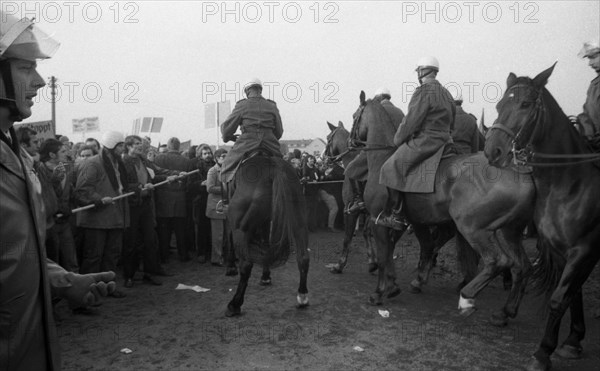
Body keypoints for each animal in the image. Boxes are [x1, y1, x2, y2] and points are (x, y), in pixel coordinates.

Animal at [224, 154, 310, 316]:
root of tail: (274, 168)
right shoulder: (265, 223)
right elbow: (266, 247)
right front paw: (265, 276)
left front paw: (231, 267)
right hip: (299, 222)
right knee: (303, 257)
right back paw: (302, 296)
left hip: (240, 228)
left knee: (246, 266)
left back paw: (234, 304)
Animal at [324, 121, 376, 274]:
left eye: (328, 137)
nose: (324, 158)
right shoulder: (369, 212)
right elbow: (366, 233)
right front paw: (372, 262)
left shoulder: (351, 212)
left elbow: (347, 239)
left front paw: (339, 265)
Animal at [352, 91, 536, 326]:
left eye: (355, 116)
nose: (351, 141)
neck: (381, 159)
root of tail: (520, 172)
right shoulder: (410, 222)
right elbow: (402, 250)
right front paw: (395, 285)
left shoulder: (379, 221)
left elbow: (385, 256)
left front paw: (379, 292)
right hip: (509, 232)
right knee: (522, 266)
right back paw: (505, 311)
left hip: (473, 228)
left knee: (498, 261)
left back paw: (467, 298)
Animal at [486, 64, 600, 371]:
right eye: (500, 105)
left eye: (525, 104)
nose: (493, 151)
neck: (570, 184)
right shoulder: (562, 251)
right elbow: (572, 295)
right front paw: (573, 340)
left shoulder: (585, 250)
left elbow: (559, 299)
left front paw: (542, 352)